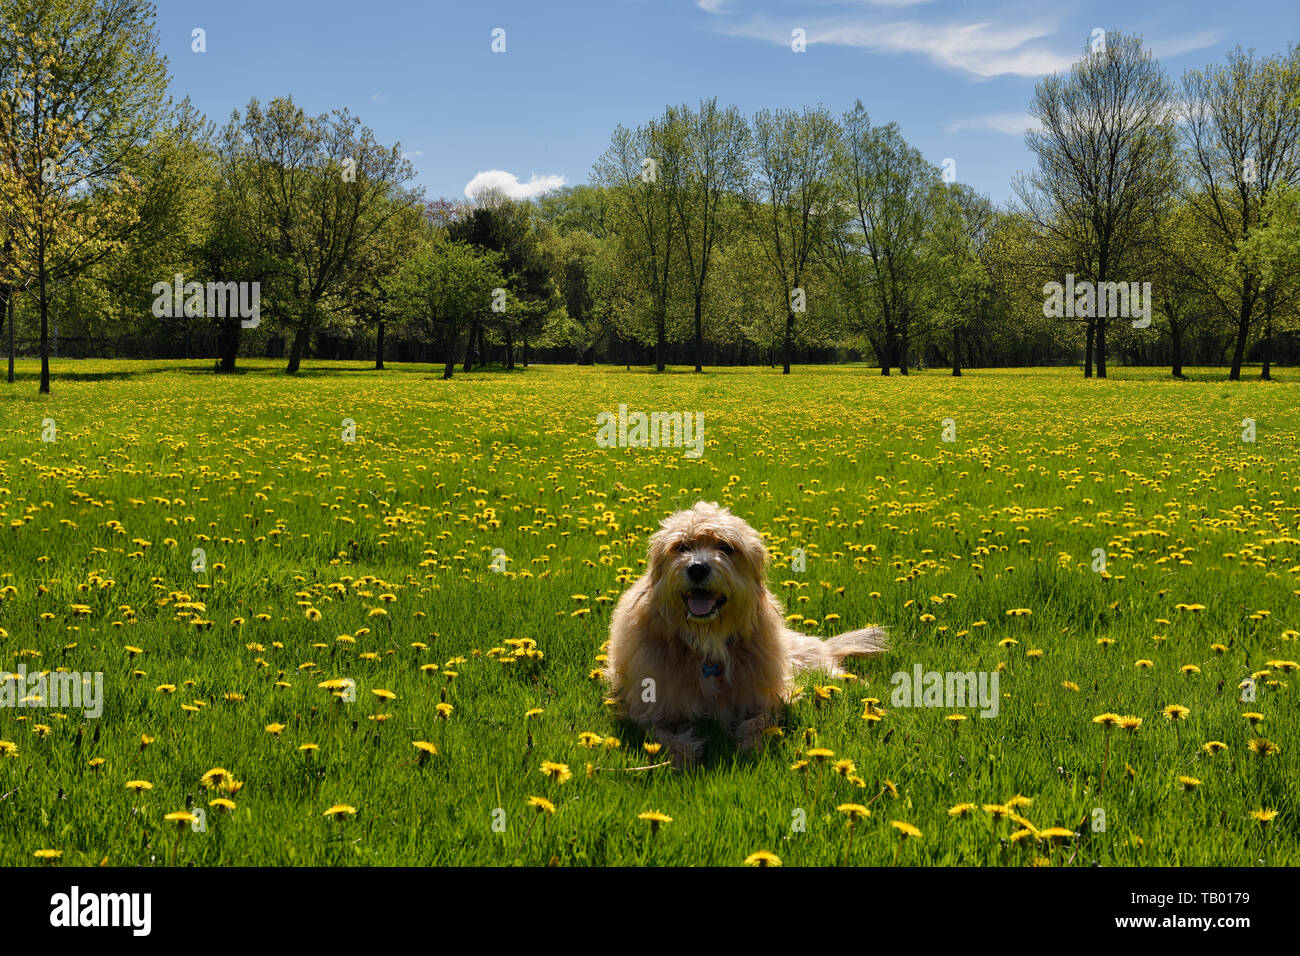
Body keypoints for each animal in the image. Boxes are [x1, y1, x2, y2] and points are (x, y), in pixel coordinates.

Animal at [603, 504, 889, 764]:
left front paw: (750, 746)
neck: (706, 644)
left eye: (726, 547)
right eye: (681, 546)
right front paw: (683, 754)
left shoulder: (771, 695)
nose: (697, 568)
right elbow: (657, 734)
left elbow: (761, 721)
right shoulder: (646, 706)